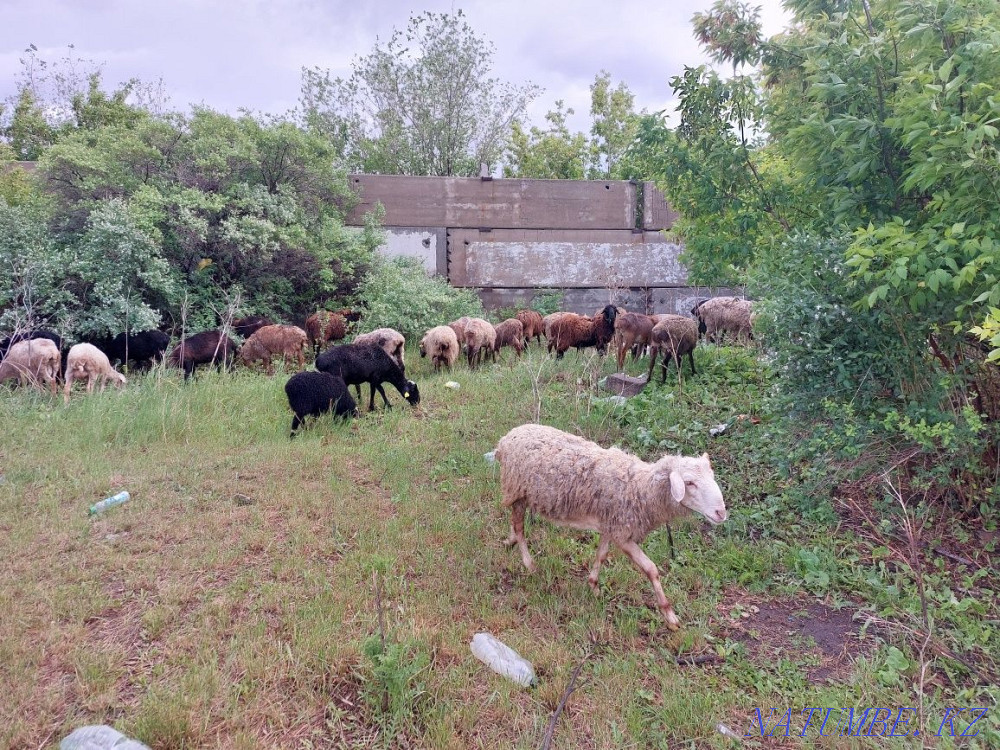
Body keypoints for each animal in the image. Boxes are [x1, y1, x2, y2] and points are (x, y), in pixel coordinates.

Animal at [495, 423, 728, 629]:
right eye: (689, 483)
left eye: (712, 476)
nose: (721, 513)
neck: (640, 487)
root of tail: (506, 438)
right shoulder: (623, 534)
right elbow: (651, 569)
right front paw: (669, 615)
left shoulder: (610, 524)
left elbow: (602, 555)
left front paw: (593, 585)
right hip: (516, 488)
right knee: (520, 528)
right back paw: (529, 564)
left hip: (520, 494)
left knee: (515, 523)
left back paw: (509, 541)